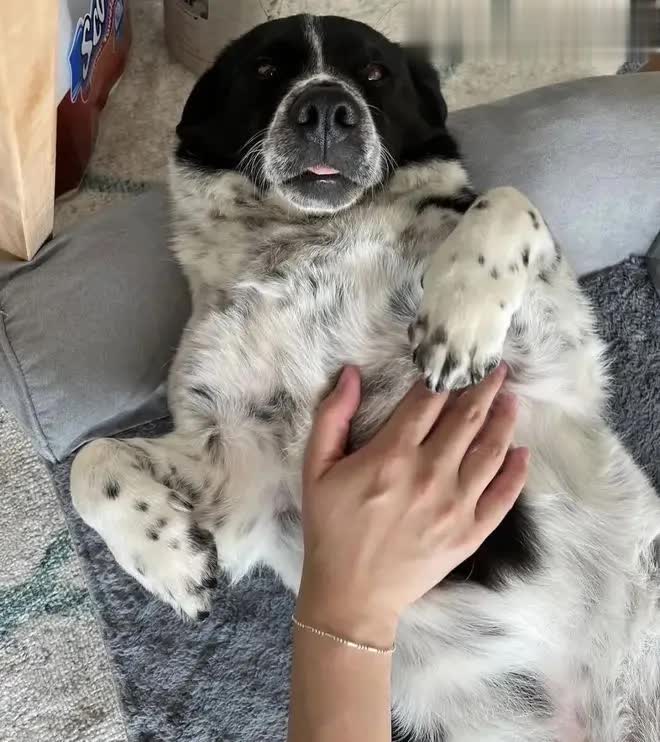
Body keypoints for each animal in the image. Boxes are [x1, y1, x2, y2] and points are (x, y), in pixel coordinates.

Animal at [71, 14, 660, 741]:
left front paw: (459, 317)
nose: (326, 107)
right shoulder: (246, 479)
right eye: (266, 70)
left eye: (375, 72)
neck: (307, 242)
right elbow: (92, 461)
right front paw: (169, 561)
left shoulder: (554, 361)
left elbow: (503, 199)